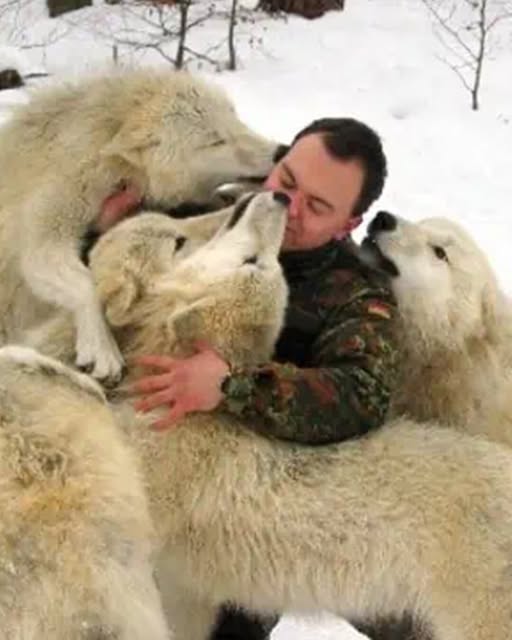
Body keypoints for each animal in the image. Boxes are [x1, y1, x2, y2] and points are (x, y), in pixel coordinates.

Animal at [0, 67, 277, 382]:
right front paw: (102, 352)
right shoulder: (48, 216)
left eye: (237, 120)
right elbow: (82, 282)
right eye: (215, 140)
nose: (282, 150)